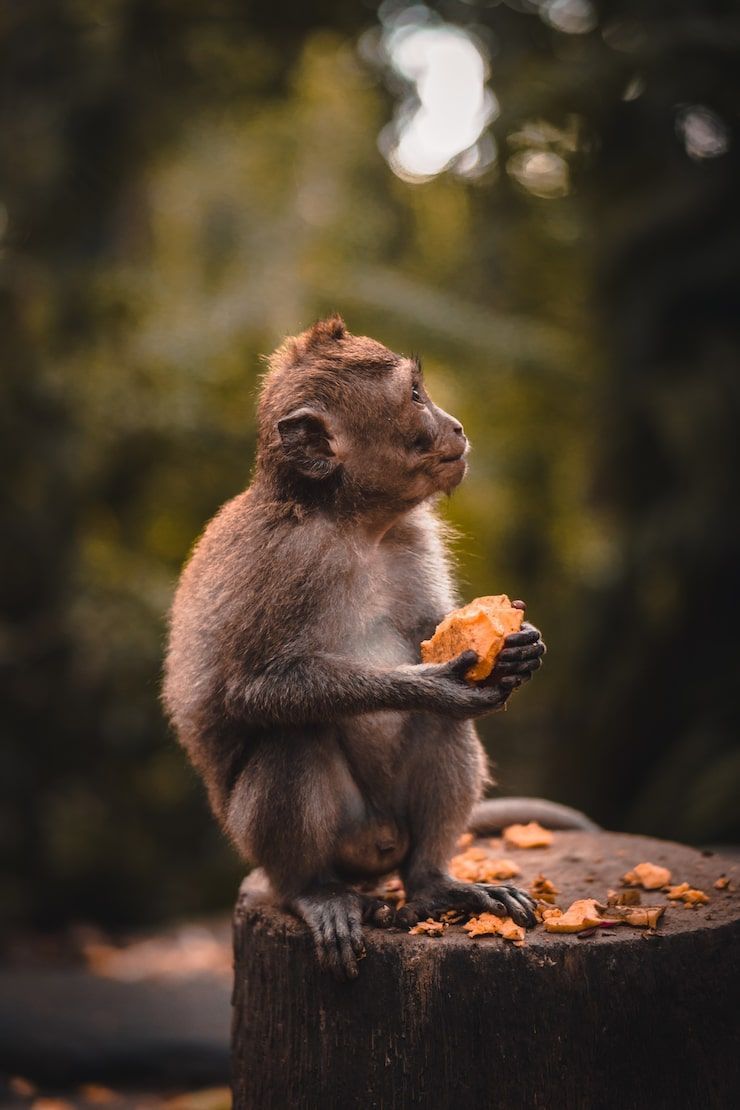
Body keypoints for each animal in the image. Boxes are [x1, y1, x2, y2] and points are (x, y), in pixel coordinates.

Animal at [164, 315, 566, 980]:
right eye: (415, 396)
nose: (455, 425)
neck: (352, 523)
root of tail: (376, 854)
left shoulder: (413, 535)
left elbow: (430, 629)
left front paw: (516, 647)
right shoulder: (284, 558)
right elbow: (252, 689)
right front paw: (432, 685)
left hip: (391, 833)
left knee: (439, 733)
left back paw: (433, 883)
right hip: (294, 842)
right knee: (292, 740)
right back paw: (314, 891)